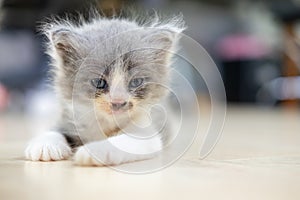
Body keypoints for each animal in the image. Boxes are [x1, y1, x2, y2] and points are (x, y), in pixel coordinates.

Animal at [25, 11, 185, 166]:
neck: (106, 122)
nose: (118, 102)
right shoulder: (68, 118)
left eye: (136, 82)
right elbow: (54, 131)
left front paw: (94, 151)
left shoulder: (147, 132)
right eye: (99, 82)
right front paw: (44, 145)